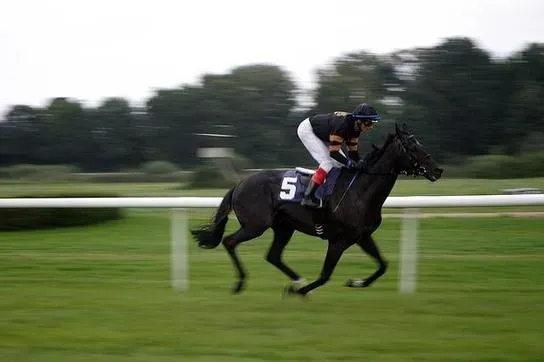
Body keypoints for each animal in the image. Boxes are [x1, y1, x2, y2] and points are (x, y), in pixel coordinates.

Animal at [190, 123, 442, 296]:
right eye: (412, 146)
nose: (437, 169)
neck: (360, 189)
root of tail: (240, 183)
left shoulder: (361, 236)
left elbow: (382, 265)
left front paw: (356, 282)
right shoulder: (339, 240)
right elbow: (325, 275)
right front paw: (301, 292)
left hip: (284, 227)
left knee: (273, 255)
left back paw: (297, 280)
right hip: (256, 225)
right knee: (230, 242)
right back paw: (241, 282)